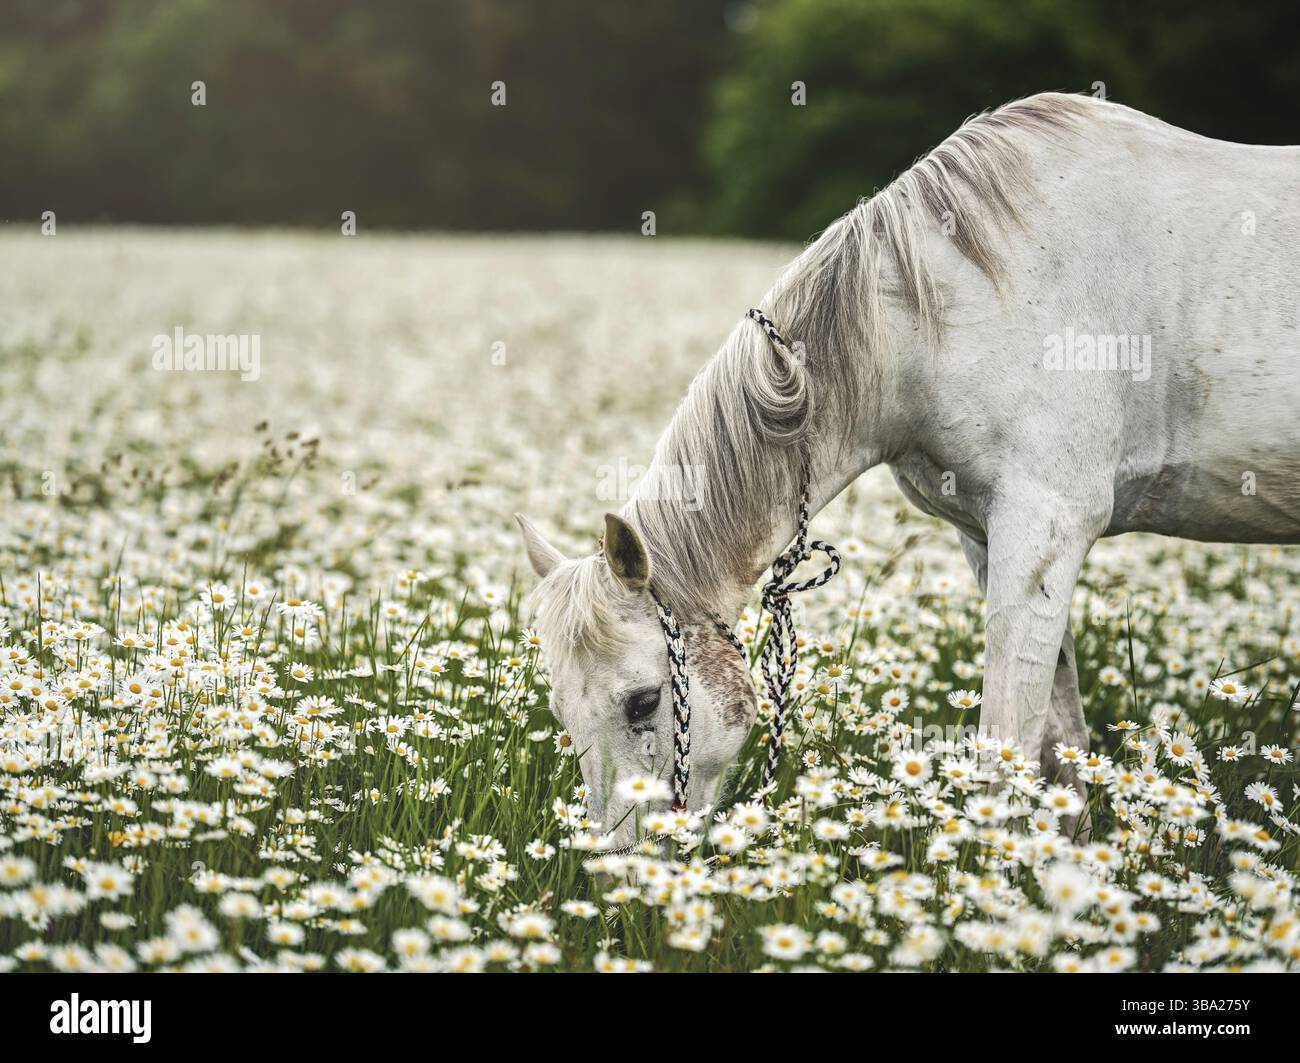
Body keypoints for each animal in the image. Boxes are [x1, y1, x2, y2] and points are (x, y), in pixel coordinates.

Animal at [516, 92, 1300, 849]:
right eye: (560, 707)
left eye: (643, 701)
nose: (621, 871)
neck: (949, 311)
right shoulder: (990, 538)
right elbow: (1060, 746)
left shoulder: (1043, 528)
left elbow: (1002, 756)